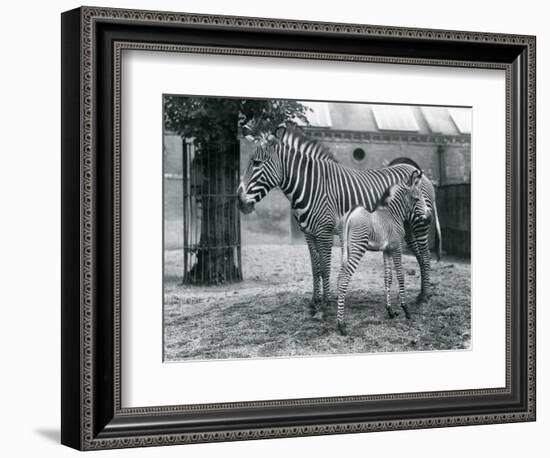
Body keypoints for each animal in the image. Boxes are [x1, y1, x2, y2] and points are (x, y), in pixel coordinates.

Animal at [237, 127, 440, 314]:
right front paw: (314, 301)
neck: (311, 186)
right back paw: (420, 294)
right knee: (419, 255)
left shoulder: (324, 231)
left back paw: (424, 297)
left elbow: (325, 268)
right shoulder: (308, 233)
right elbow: (315, 268)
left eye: (256, 163)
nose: (239, 201)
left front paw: (325, 305)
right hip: (406, 226)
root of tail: (418, 171)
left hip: (419, 223)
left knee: (426, 255)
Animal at [336, 170, 432, 334]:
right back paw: (341, 325)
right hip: (358, 248)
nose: (430, 218)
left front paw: (390, 311)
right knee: (344, 280)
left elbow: (388, 278)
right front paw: (406, 309)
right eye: (416, 199)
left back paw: (338, 319)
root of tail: (351, 212)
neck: (394, 215)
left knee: (339, 277)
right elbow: (400, 276)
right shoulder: (396, 247)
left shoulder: (386, 250)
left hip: (345, 249)